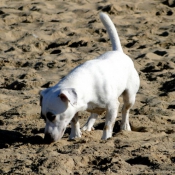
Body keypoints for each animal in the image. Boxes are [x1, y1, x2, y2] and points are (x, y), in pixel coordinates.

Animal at [39, 12, 139, 144]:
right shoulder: (74, 108)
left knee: (125, 110)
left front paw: (106, 138)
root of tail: (119, 52)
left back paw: (125, 126)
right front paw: (75, 135)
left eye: (52, 116)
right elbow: (74, 121)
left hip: (130, 96)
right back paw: (87, 126)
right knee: (95, 113)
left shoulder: (112, 106)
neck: (85, 88)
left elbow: (108, 125)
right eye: (43, 117)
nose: (46, 139)